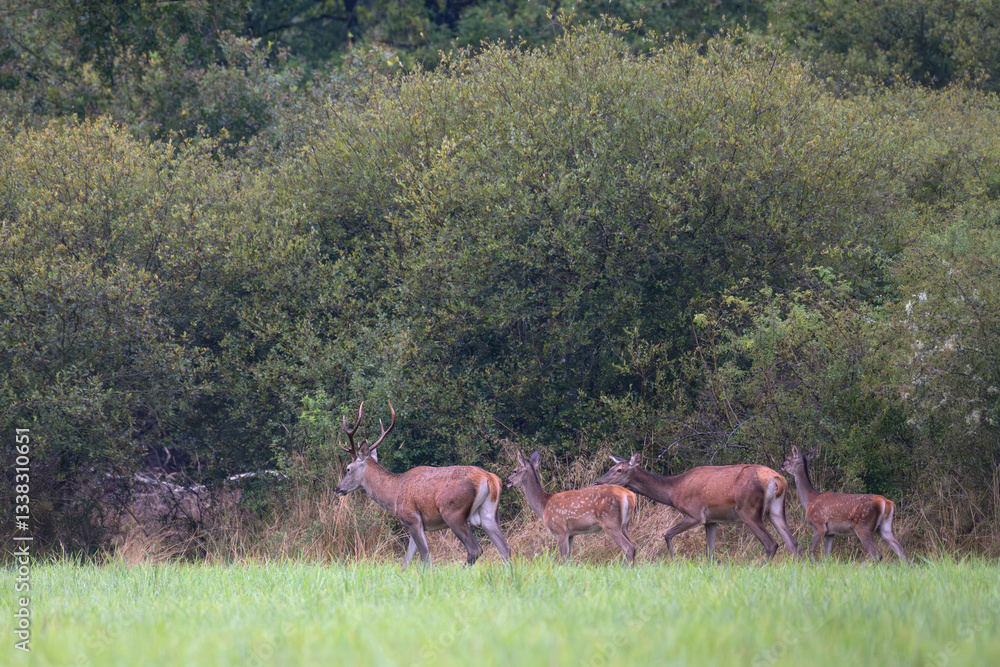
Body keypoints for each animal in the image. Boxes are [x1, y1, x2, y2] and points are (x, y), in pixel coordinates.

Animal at [333, 401, 511, 567]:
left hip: (453, 511)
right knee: (505, 549)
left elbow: (425, 557)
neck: (393, 493)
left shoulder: (412, 517)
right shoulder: (418, 525)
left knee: (475, 549)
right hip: (489, 514)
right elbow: (406, 561)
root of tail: (489, 478)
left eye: (348, 469)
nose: (338, 488)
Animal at [506, 449, 637, 563]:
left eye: (515, 471)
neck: (544, 505)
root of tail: (629, 495)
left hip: (610, 522)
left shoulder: (560, 530)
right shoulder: (571, 534)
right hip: (624, 525)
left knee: (628, 548)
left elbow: (564, 558)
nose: (507, 480)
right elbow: (569, 559)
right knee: (633, 547)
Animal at [595, 453, 800, 561]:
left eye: (618, 470)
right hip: (776, 510)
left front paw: (674, 562)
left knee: (771, 543)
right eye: (611, 468)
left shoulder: (695, 514)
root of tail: (777, 479)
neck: (673, 491)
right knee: (792, 542)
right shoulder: (711, 520)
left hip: (749, 510)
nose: (597, 482)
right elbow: (710, 551)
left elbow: (667, 534)